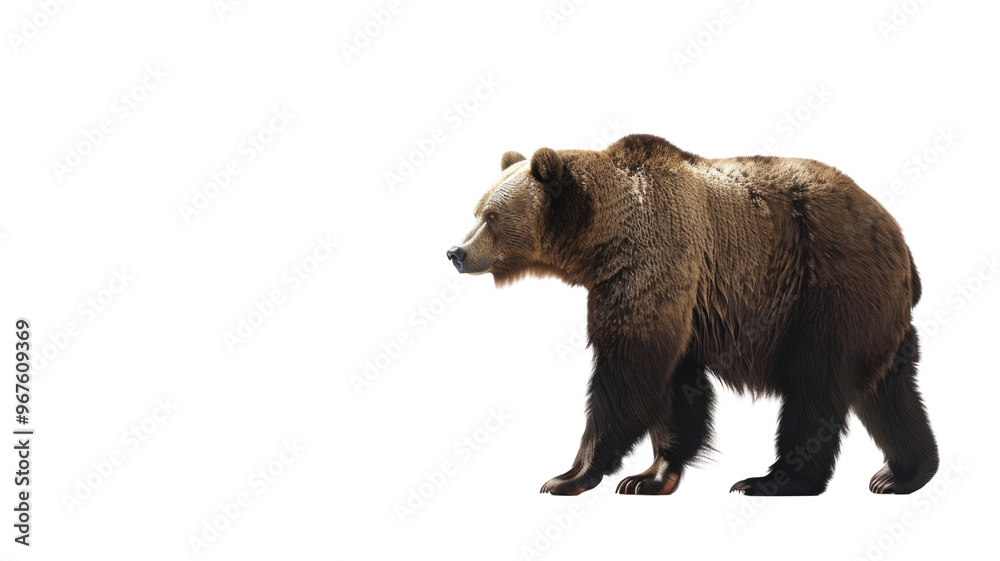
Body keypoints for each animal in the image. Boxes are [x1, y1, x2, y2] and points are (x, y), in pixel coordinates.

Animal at [446, 134, 938, 496]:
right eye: (476, 210)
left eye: (492, 215)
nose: (456, 252)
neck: (601, 239)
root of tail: (901, 241)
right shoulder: (681, 302)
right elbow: (675, 387)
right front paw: (650, 476)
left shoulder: (654, 262)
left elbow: (627, 372)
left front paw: (569, 476)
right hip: (877, 314)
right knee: (890, 391)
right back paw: (903, 474)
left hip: (827, 288)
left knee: (814, 384)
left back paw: (774, 480)